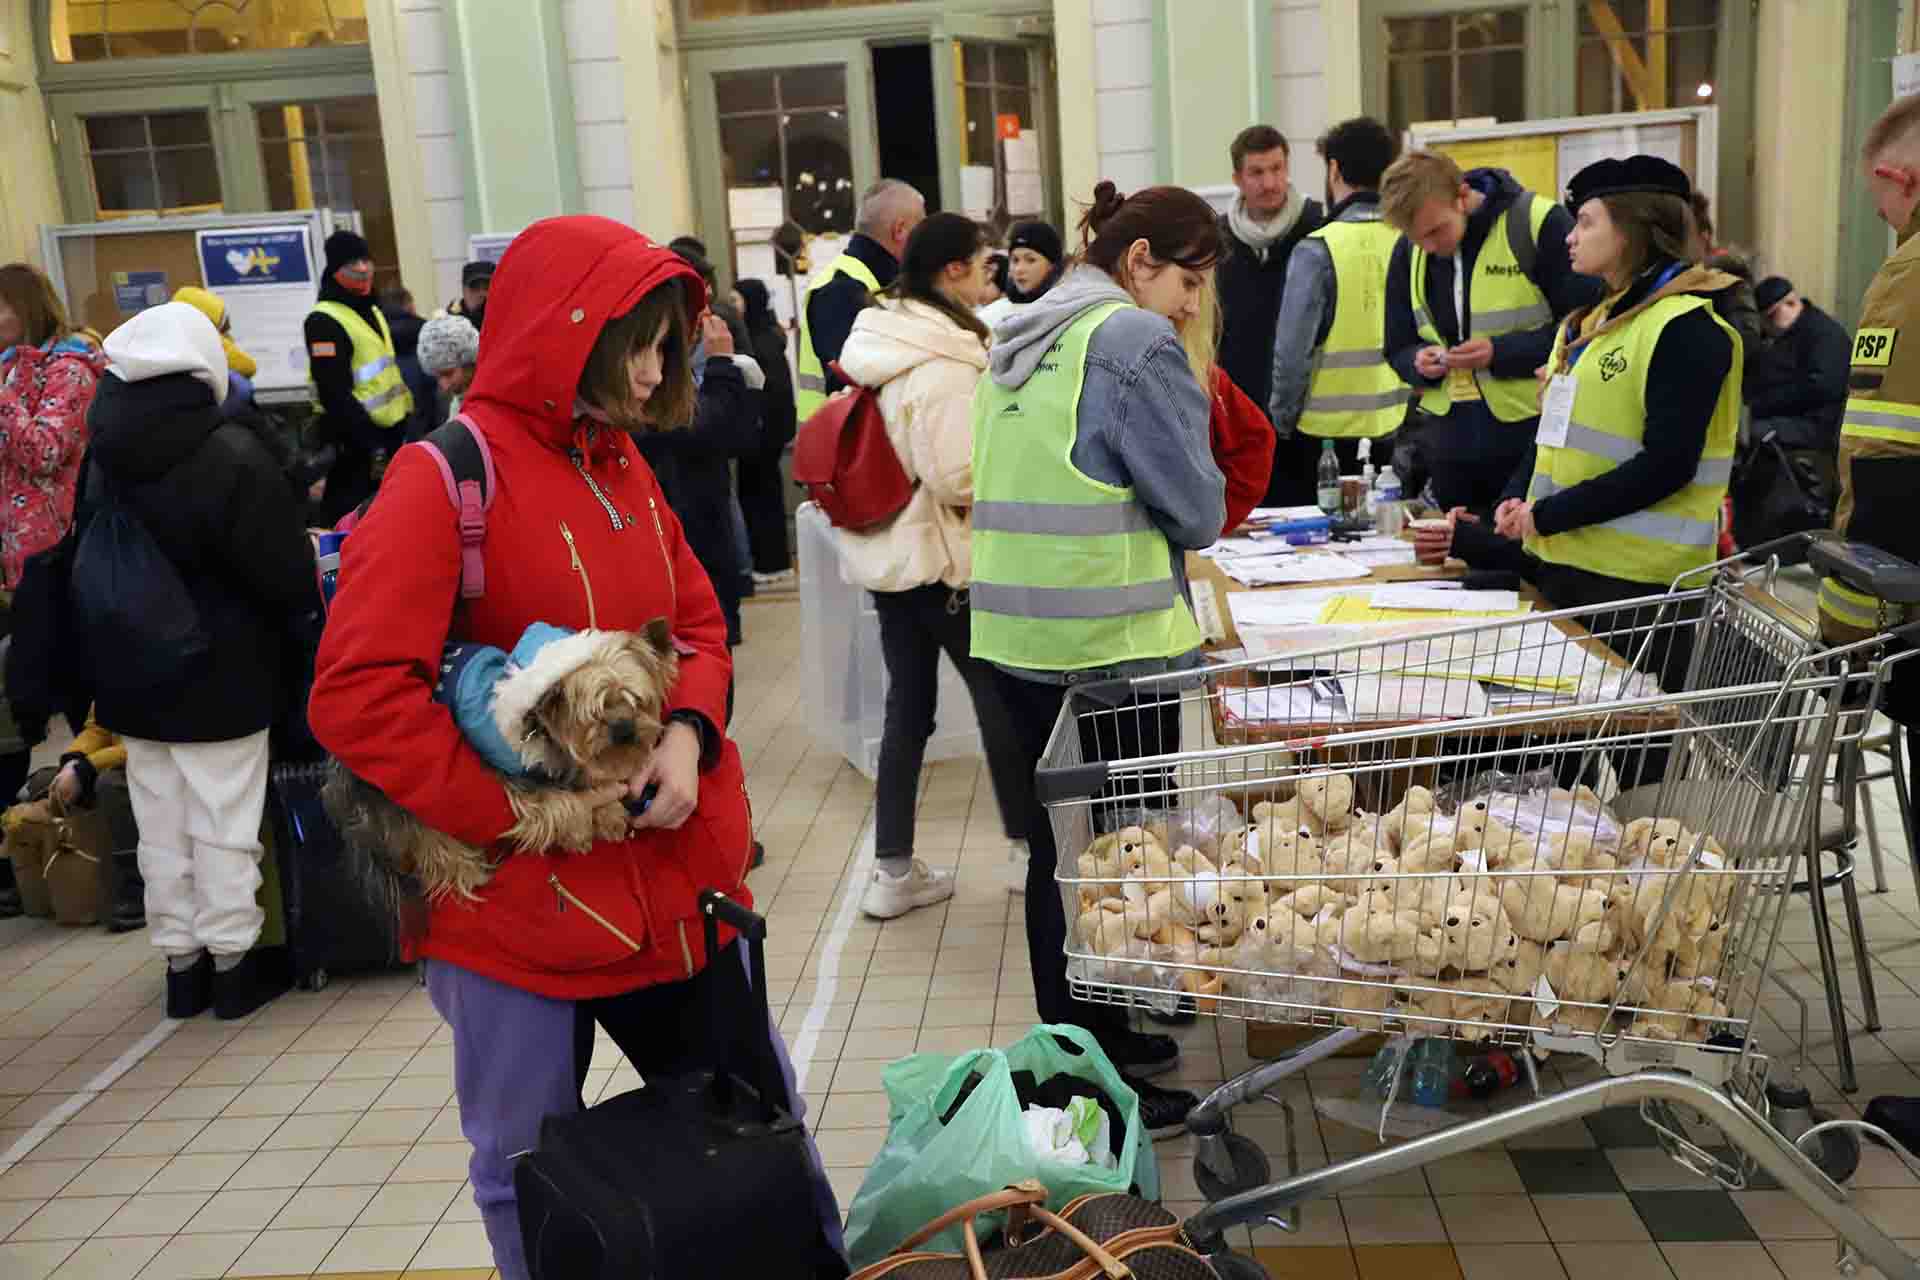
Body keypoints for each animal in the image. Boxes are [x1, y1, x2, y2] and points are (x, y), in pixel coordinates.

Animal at [328, 617, 683, 901]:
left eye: (637, 700)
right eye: (594, 713)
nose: (625, 730)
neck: (543, 729)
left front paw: (609, 815)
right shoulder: (513, 780)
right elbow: (558, 803)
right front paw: (580, 829)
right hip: (406, 777)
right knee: (428, 834)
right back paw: (467, 869)